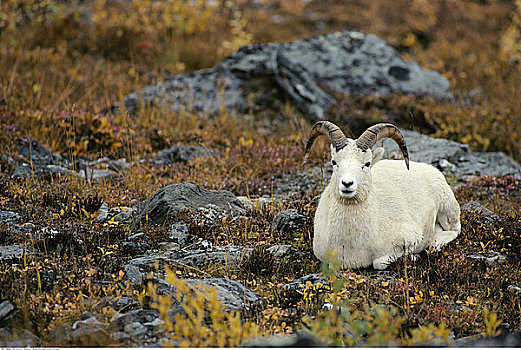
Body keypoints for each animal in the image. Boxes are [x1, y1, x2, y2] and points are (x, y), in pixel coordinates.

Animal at [302, 121, 462, 270]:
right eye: (334, 162)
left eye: (367, 163)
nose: (347, 183)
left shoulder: (411, 238)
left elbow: (379, 263)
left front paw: (413, 256)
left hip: (447, 210)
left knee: (455, 230)